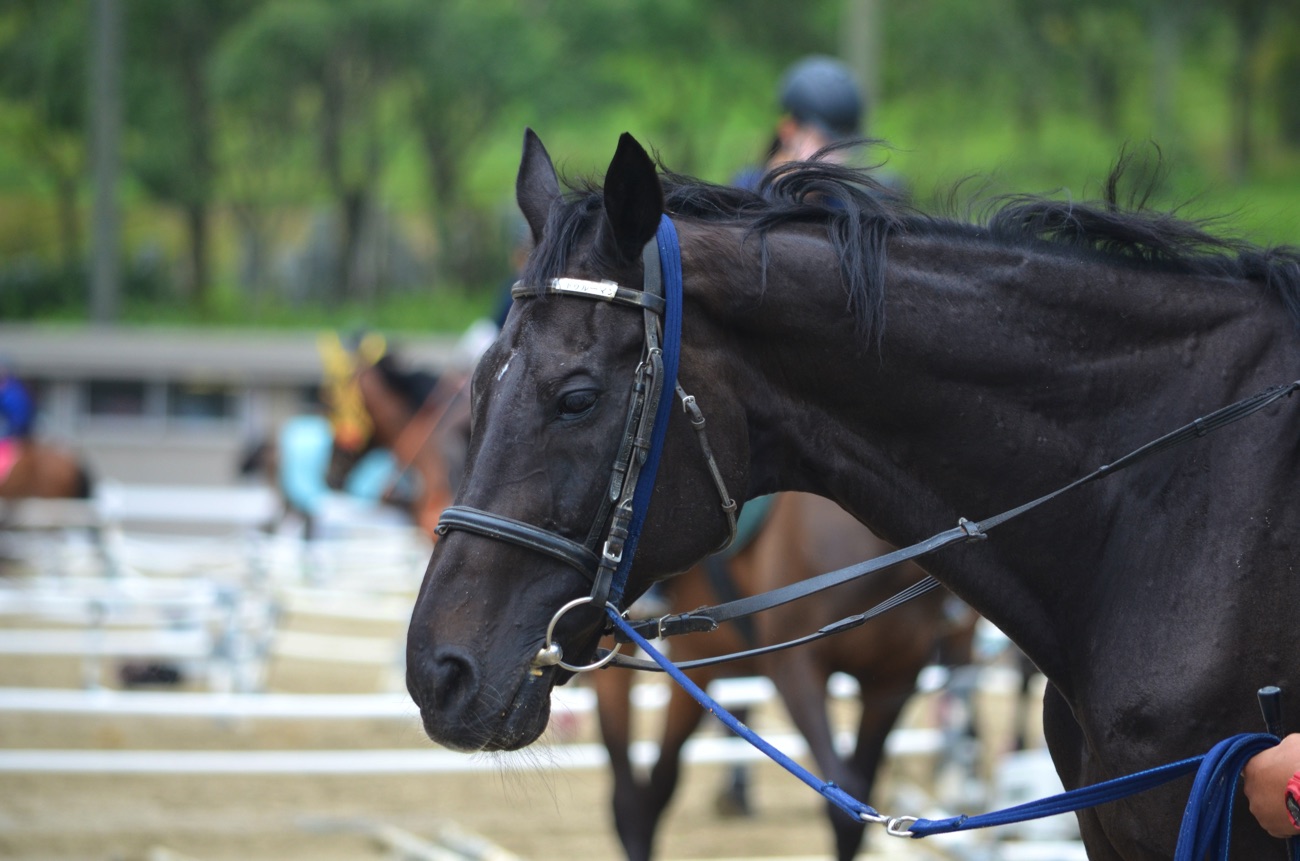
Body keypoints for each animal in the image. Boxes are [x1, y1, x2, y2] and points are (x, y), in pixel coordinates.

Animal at [592, 491, 977, 861]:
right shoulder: (796, 669)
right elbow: (844, 810)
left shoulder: (893, 681)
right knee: (626, 801)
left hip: (697, 664)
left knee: (658, 787)